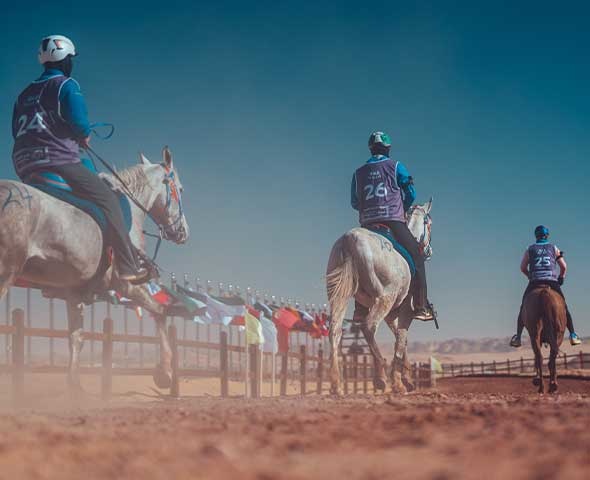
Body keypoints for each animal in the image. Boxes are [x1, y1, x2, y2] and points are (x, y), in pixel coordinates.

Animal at [0, 148, 190, 392]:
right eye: (180, 189)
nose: (183, 232)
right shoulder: (126, 284)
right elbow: (159, 312)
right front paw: (164, 372)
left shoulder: (73, 292)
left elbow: (76, 338)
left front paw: (75, 387)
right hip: (6, 272)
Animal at [326, 199, 432, 394]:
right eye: (429, 223)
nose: (429, 252)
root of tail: (350, 240)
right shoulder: (405, 310)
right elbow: (401, 339)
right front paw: (399, 382)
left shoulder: (391, 315)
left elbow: (401, 339)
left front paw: (407, 378)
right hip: (384, 299)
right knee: (369, 326)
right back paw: (382, 375)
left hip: (338, 296)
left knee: (335, 330)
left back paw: (337, 383)